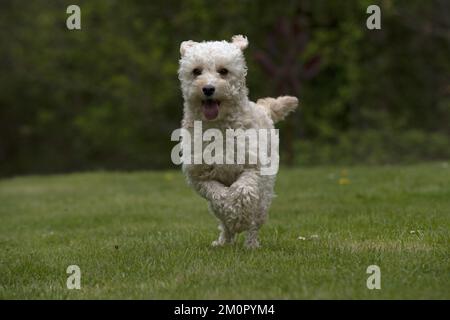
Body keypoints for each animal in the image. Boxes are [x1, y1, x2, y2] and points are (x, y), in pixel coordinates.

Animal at [178, 35, 298, 250]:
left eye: (223, 71)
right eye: (196, 71)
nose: (208, 88)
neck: (219, 128)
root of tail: (263, 109)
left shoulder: (252, 168)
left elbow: (242, 192)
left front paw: (240, 218)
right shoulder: (199, 177)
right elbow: (218, 196)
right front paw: (231, 214)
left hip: (265, 190)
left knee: (256, 219)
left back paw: (251, 243)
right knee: (222, 220)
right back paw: (224, 241)